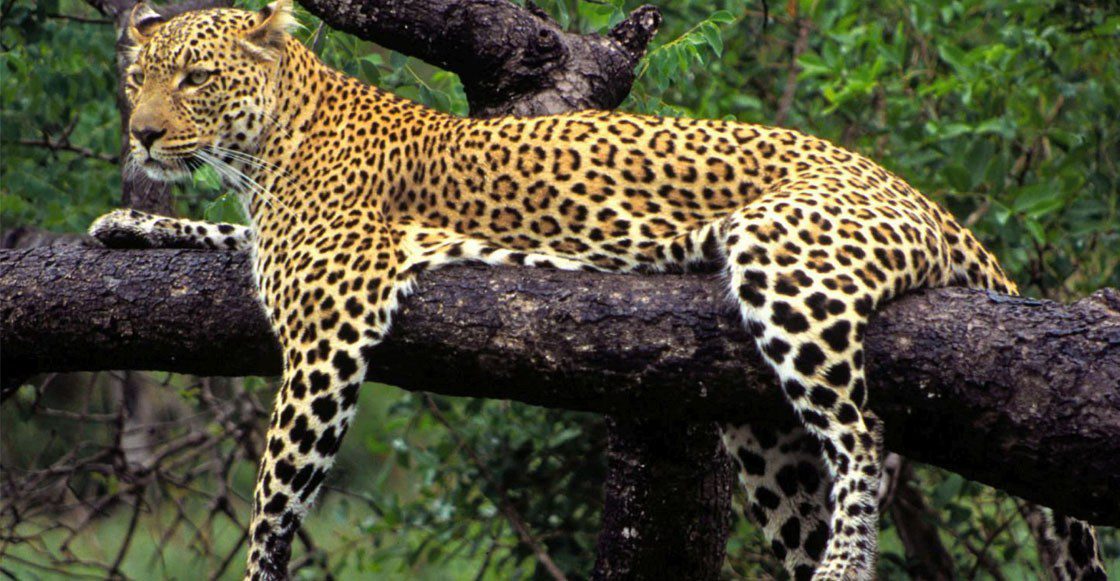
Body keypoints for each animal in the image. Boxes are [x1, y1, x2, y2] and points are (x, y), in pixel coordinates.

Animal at [88, 1, 1109, 579]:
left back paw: (843, 561)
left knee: (865, 435)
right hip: (763, 431)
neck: (268, 145)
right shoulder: (278, 246)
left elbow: (274, 492)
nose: (142, 135)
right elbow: (225, 240)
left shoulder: (330, 321)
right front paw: (127, 223)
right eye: (137, 79)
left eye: (196, 77)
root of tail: (929, 202)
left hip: (785, 258)